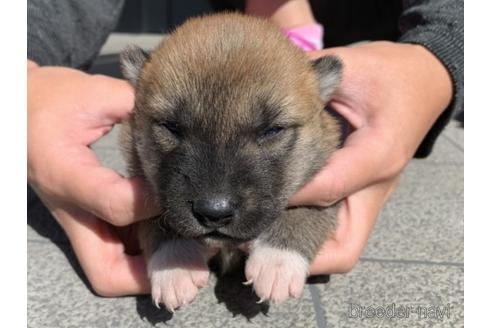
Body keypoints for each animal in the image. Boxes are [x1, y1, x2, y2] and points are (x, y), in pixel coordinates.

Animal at [119, 12, 342, 310]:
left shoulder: (327, 187)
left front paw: (277, 261)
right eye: (171, 127)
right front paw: (174, 263)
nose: (214, 212)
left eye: (271, 130)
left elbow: (306, 210)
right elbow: (155, 219)